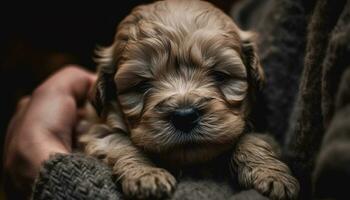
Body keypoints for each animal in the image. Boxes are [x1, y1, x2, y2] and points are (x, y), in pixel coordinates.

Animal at [78, 0, 300, 199]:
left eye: (220, 75)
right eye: (141, 85)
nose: (184, 116)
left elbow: (252, 140)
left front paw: (271, 176)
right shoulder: (96, 129)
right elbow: (120, 143)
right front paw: (147, 175)